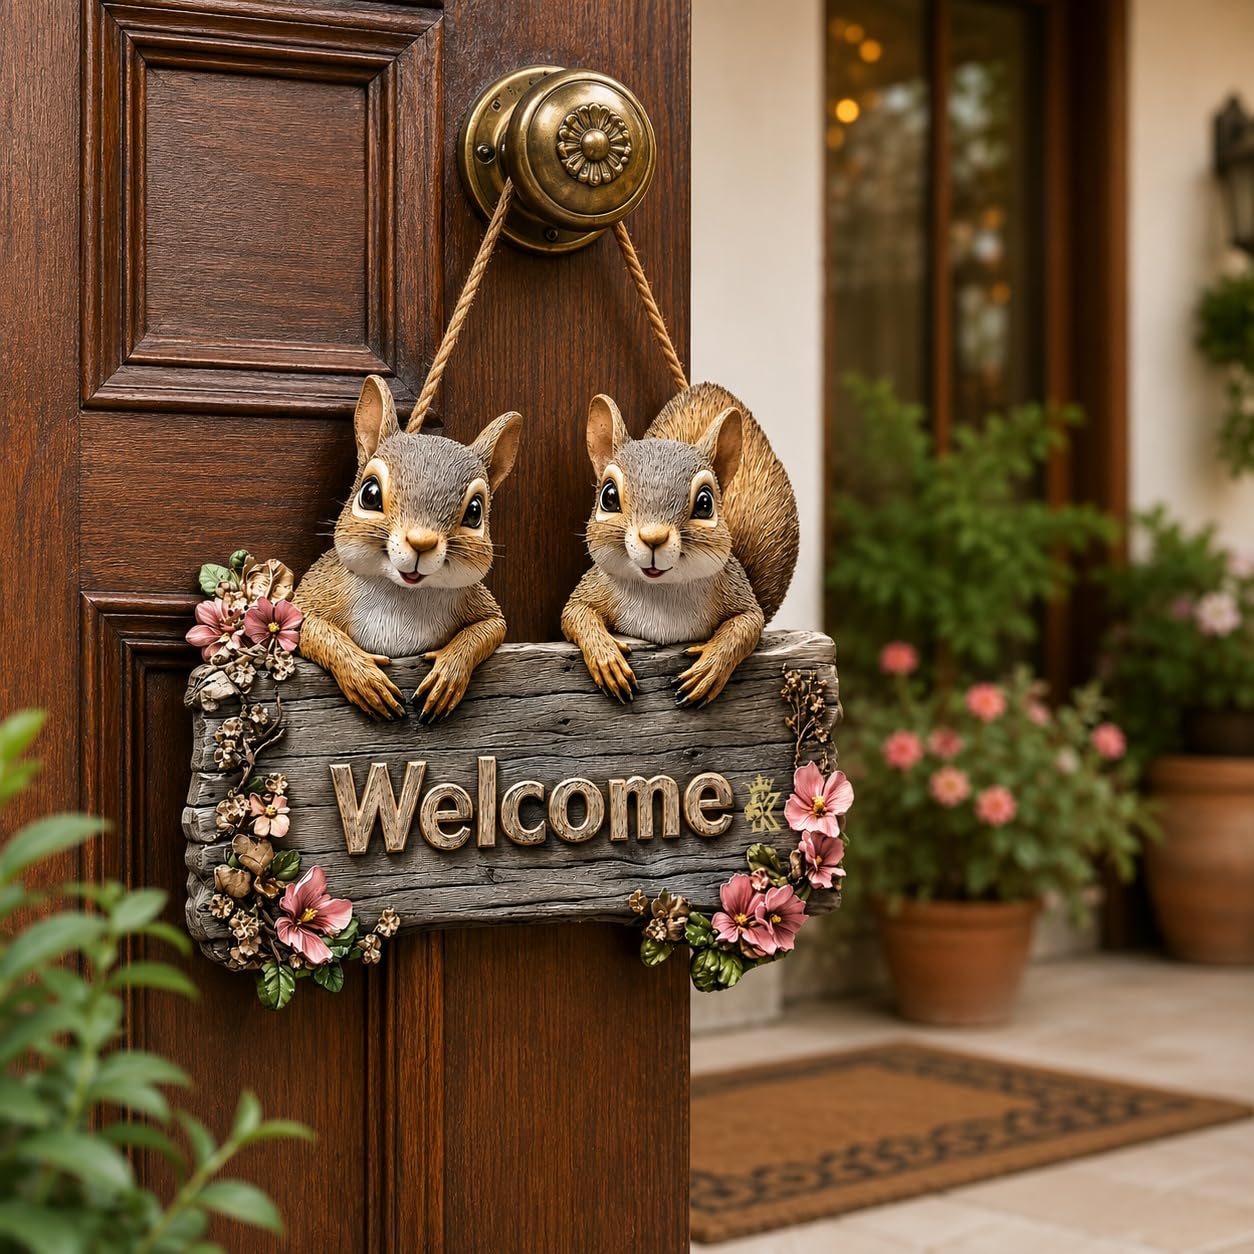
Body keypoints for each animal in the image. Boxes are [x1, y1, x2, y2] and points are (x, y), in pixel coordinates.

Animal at [294, 375, 522, 723]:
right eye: (370, 494)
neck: (402, 595)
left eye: (475, 512)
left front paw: (449, 674)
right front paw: (362, 676)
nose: (421, 542)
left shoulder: (480, 605)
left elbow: (491, 628)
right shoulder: (314, 594)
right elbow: (308, 628)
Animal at [561, 381, 798, 706]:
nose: (653, 537)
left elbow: (748, 625)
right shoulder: (594, 587)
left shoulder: (738, 591)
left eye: (705, 503)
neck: (661, 593)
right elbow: (574, 614)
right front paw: (607, 660)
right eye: (608, 497)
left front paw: (710, 668)